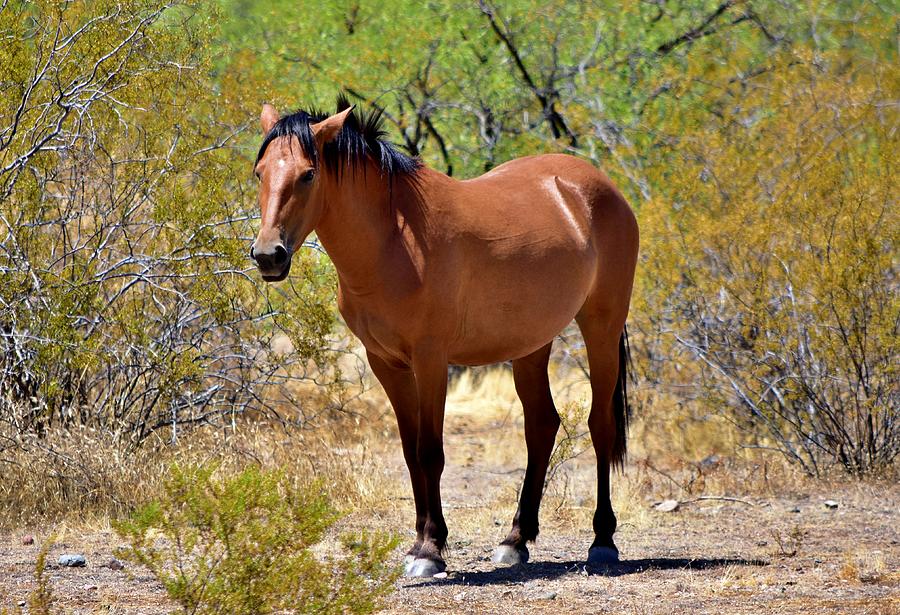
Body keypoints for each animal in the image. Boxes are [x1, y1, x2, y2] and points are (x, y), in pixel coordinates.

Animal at [251, 96, 639, 577]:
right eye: (260, 172)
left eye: (308, 174)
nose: (269, 255)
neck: (394, 241)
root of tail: (601, 187)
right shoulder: (387, 363)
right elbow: (410, 453)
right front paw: (420, 542)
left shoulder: (431, 360)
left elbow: (430, 451)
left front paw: (431, 549)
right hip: (532, 343)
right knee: (542, 425)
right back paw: (515, 540)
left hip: (601, 325)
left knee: (600, 426)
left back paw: (602, 540)